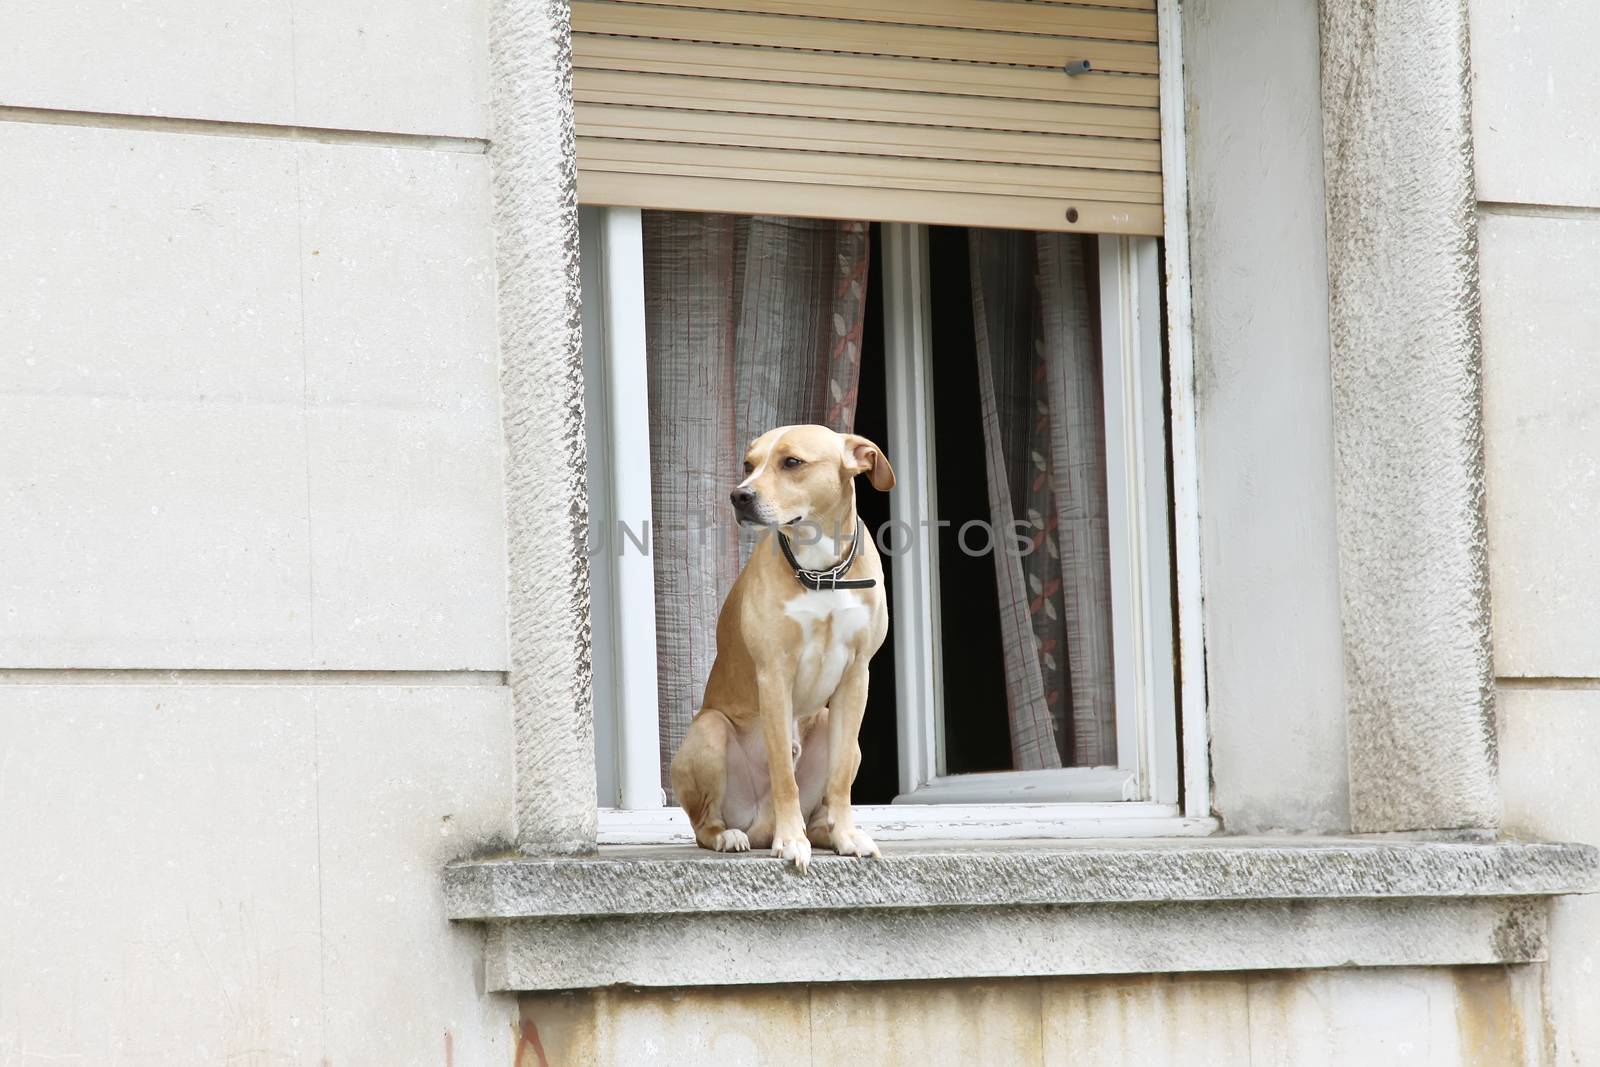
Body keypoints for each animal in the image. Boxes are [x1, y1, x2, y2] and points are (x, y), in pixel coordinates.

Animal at [668, 422, 896, 870]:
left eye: (792, 462)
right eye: (748, 464)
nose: (739, 495)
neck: (821, 572)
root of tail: (760, 824)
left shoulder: (856, 676)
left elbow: (839, 778)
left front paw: (847, 835)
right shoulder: (773, 675)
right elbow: (782, 775)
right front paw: (791, 841)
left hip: (836, 727)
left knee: (825, 801)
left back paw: (830, 833)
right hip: (709, 731)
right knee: (705, 824)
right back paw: (732, 835)